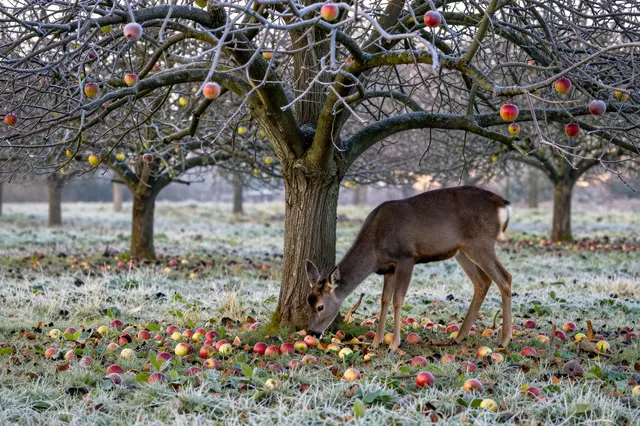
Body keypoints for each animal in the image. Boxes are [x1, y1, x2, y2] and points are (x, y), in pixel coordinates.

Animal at [305, 185, 513, 351]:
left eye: (320, 306)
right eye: (309, 302)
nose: (312, 332)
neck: (375, 247)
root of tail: (503, 205)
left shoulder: (406, 257)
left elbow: (397, 300)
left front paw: (394, 344)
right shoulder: (388, 268)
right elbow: (384, 300)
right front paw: (376, 342)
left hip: (480, 243)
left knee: (504, 278)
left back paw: (504, 340)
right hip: (461, 251)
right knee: (483, 281)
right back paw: (460, 337)